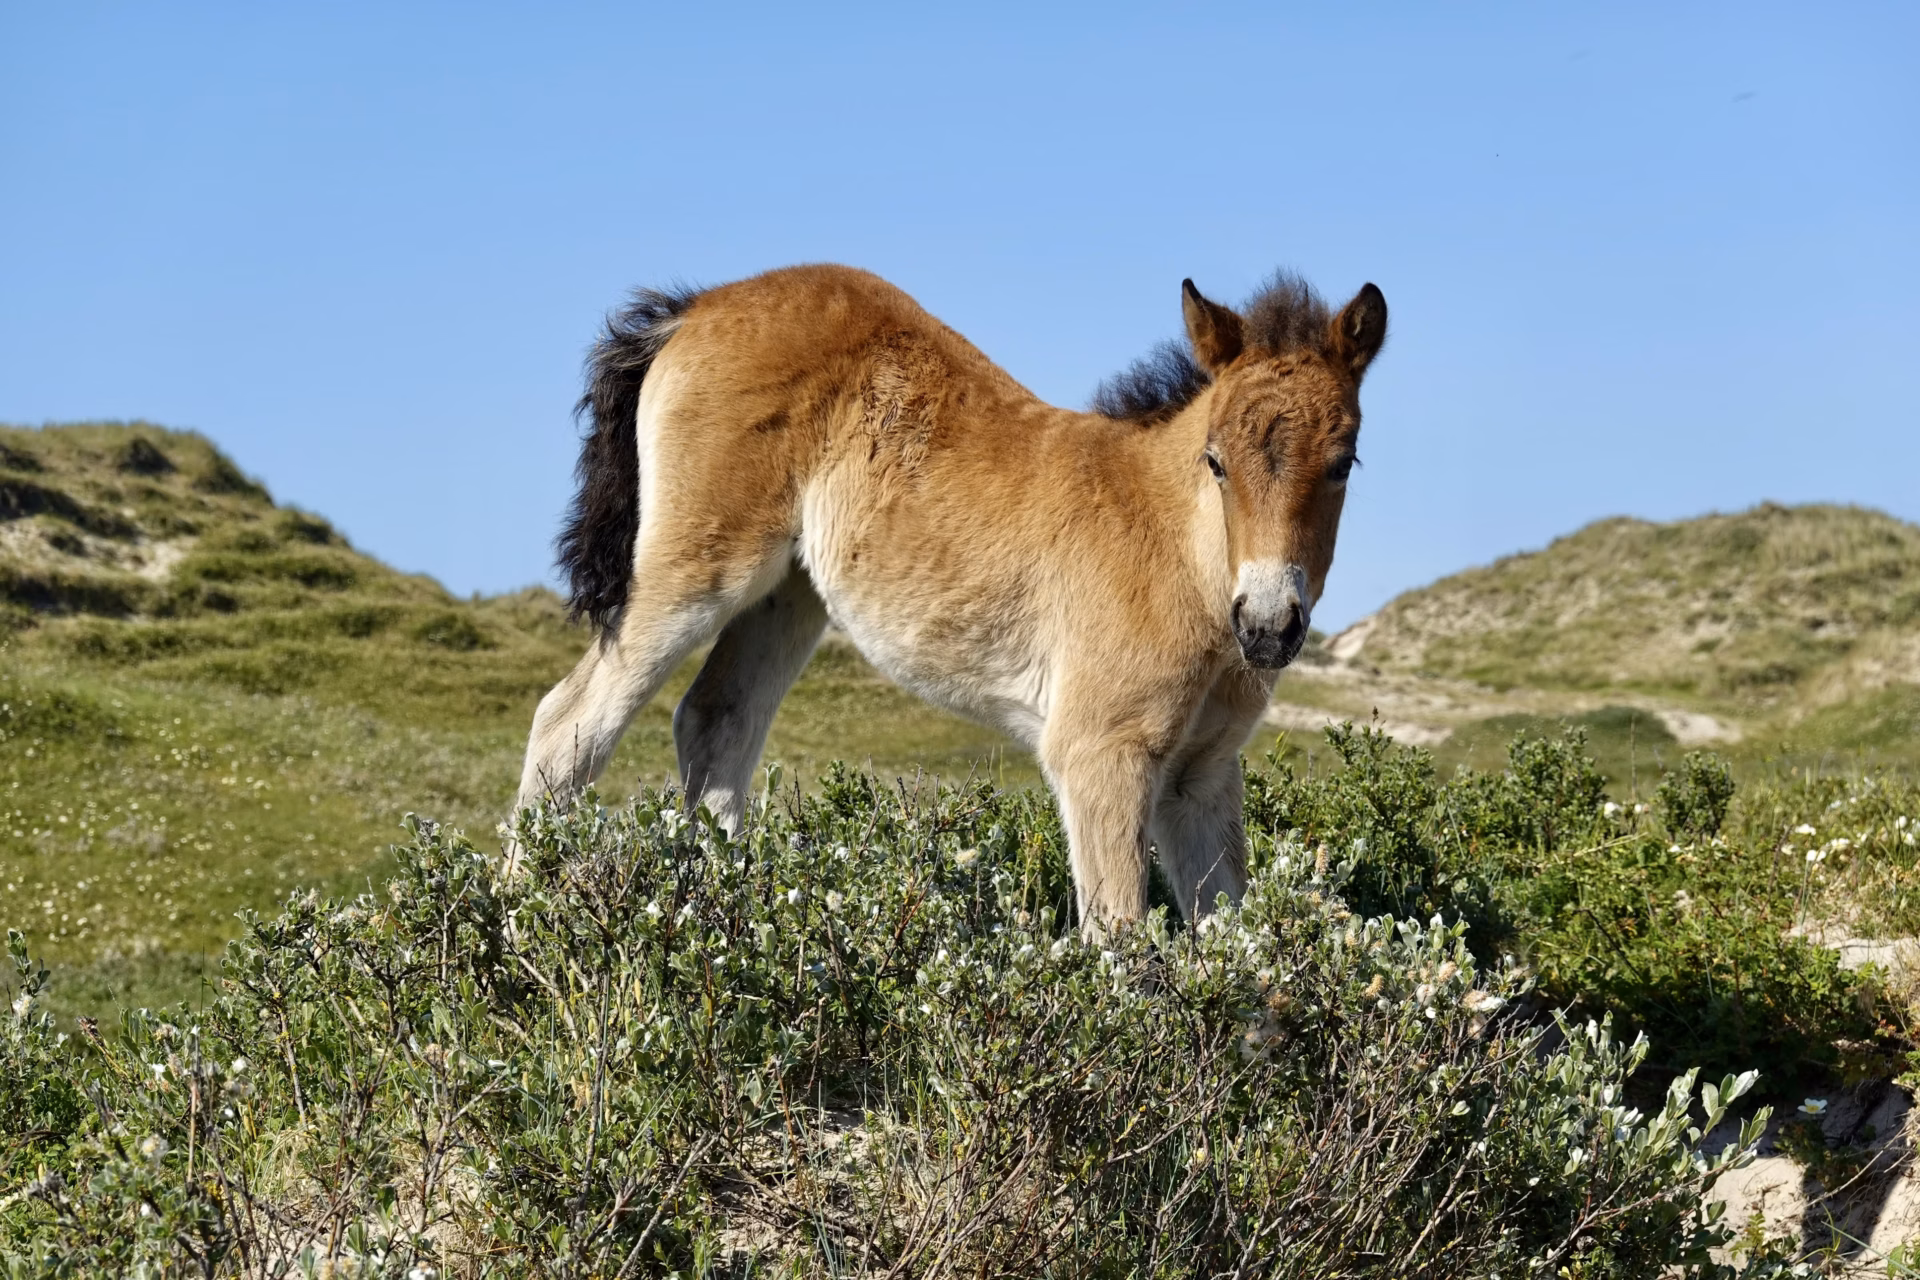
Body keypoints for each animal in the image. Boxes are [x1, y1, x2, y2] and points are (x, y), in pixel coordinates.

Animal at [515, 264, 1386, 934]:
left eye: (1345, 460)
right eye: (1215, 460)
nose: (1267, 626)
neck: (1179, 556)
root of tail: (694, 308)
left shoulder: (1201, 777)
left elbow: (1235, 944)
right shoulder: (1101, 752)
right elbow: (1120, 937)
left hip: (790, 595)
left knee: (715, 725)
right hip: (698, 569)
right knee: (568, 725)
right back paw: (521, 932)